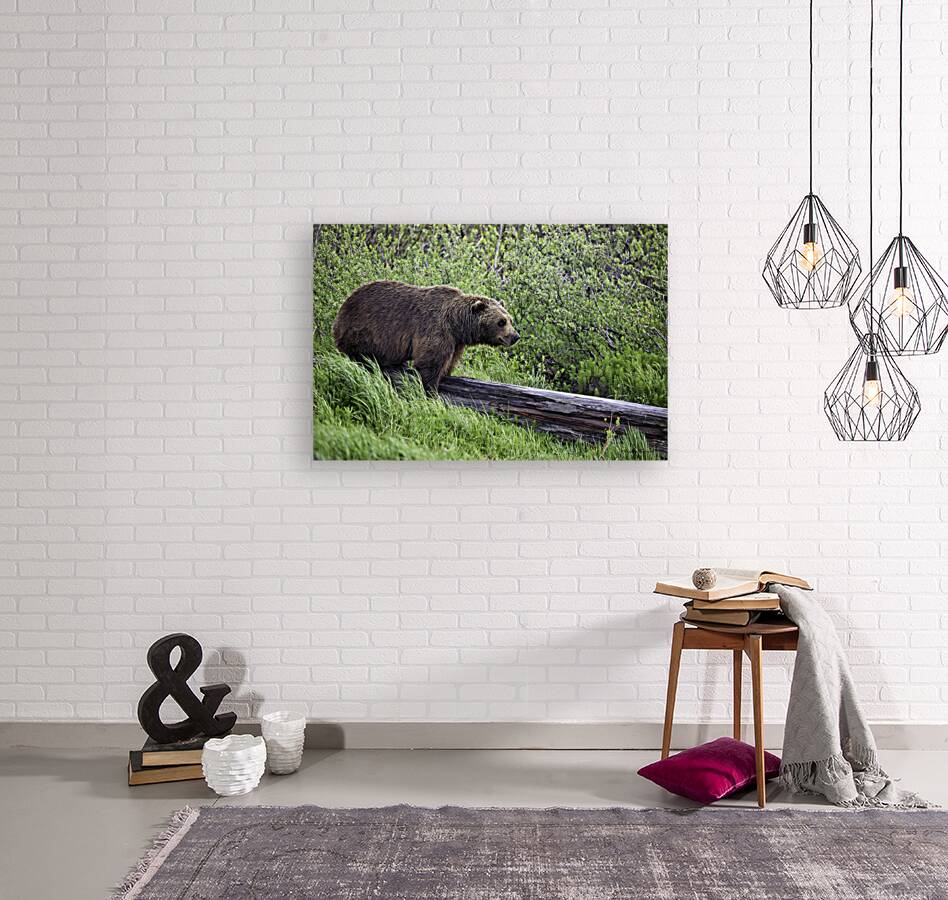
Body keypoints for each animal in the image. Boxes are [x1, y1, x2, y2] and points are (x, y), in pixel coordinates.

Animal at [331, 280, 520, 394]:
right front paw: (431, 390)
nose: (515, 336)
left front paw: (447, 374)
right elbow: (429, 362)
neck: (457, 324)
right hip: (363, 330)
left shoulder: (456, 342)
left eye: (510, 319)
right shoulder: (435, 329)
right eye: (501, 322)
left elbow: (449, 361)